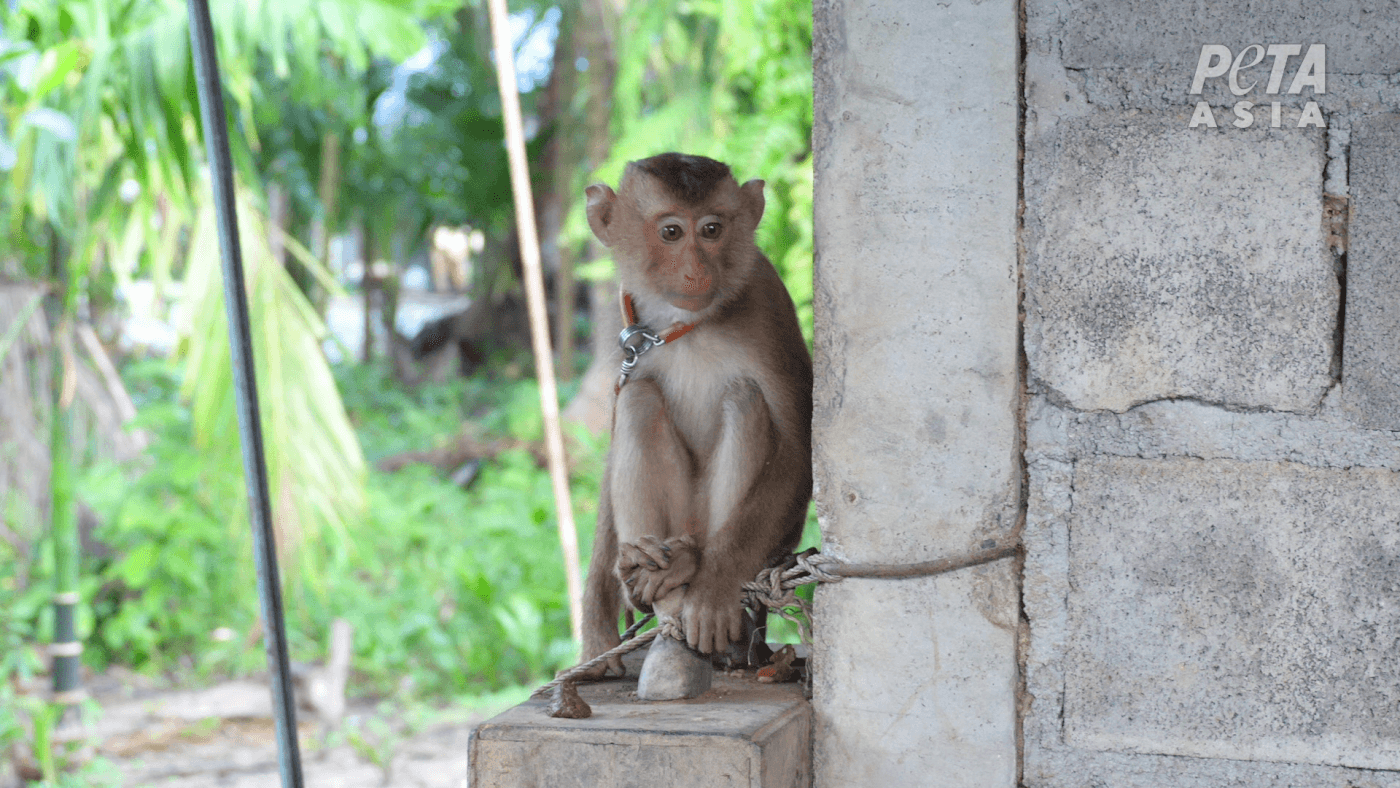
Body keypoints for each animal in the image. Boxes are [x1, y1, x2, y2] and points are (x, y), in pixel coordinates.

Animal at [576, 153, 817, 677]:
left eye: (711, 230)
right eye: (671, 232)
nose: (697, 270)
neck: (684, 324)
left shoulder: (767, 306)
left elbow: (797, 450)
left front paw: (711, 588)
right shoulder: (629, 331)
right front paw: (596, 624)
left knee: (745, 400)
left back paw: (700, 585)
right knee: (639, 399)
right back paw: (647, 579)